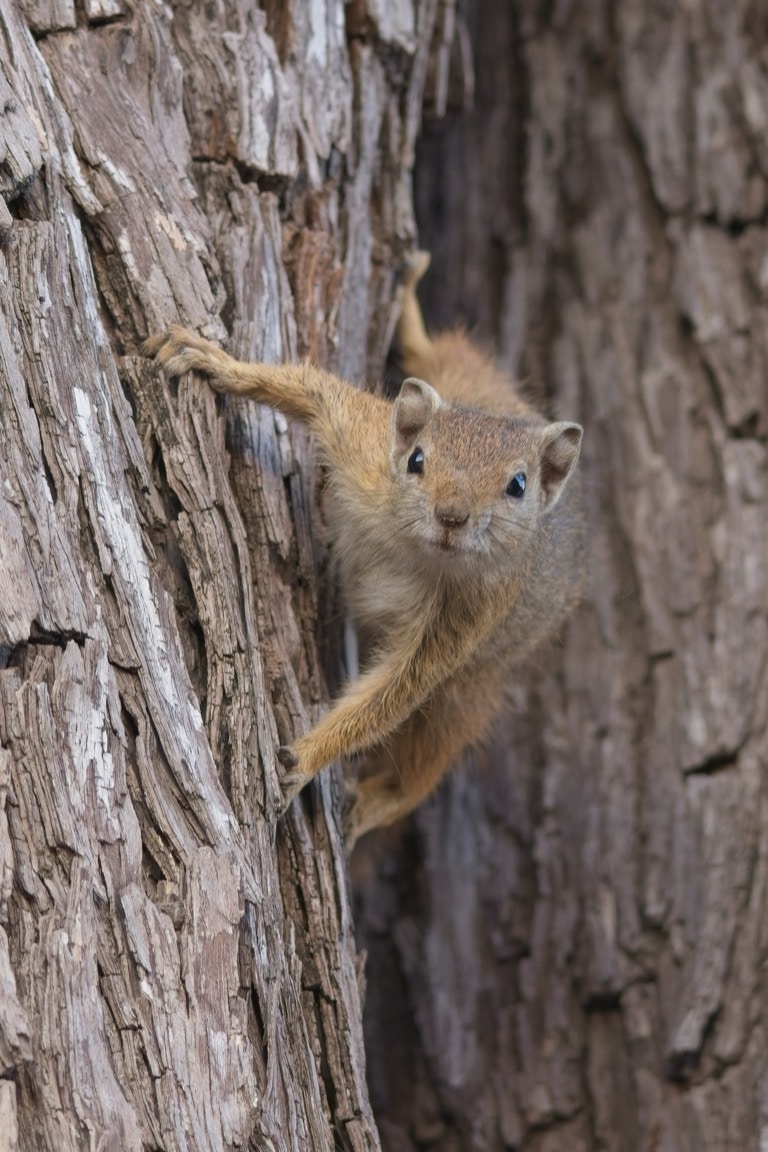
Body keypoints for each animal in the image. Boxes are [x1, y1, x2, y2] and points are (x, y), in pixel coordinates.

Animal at [145, 252, 585, 848]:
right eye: (417, 459)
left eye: (517, 485)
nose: (452, 515)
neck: (414, 548)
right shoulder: (365, 446)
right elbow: (310, 389)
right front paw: (213, 360)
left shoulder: (470, 613)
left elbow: (391, 694)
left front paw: (304, 759)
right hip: (463, 375)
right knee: (444, 352)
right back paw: (411, 309)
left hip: (471, 689)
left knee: (428, 759)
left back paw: (374, 803)